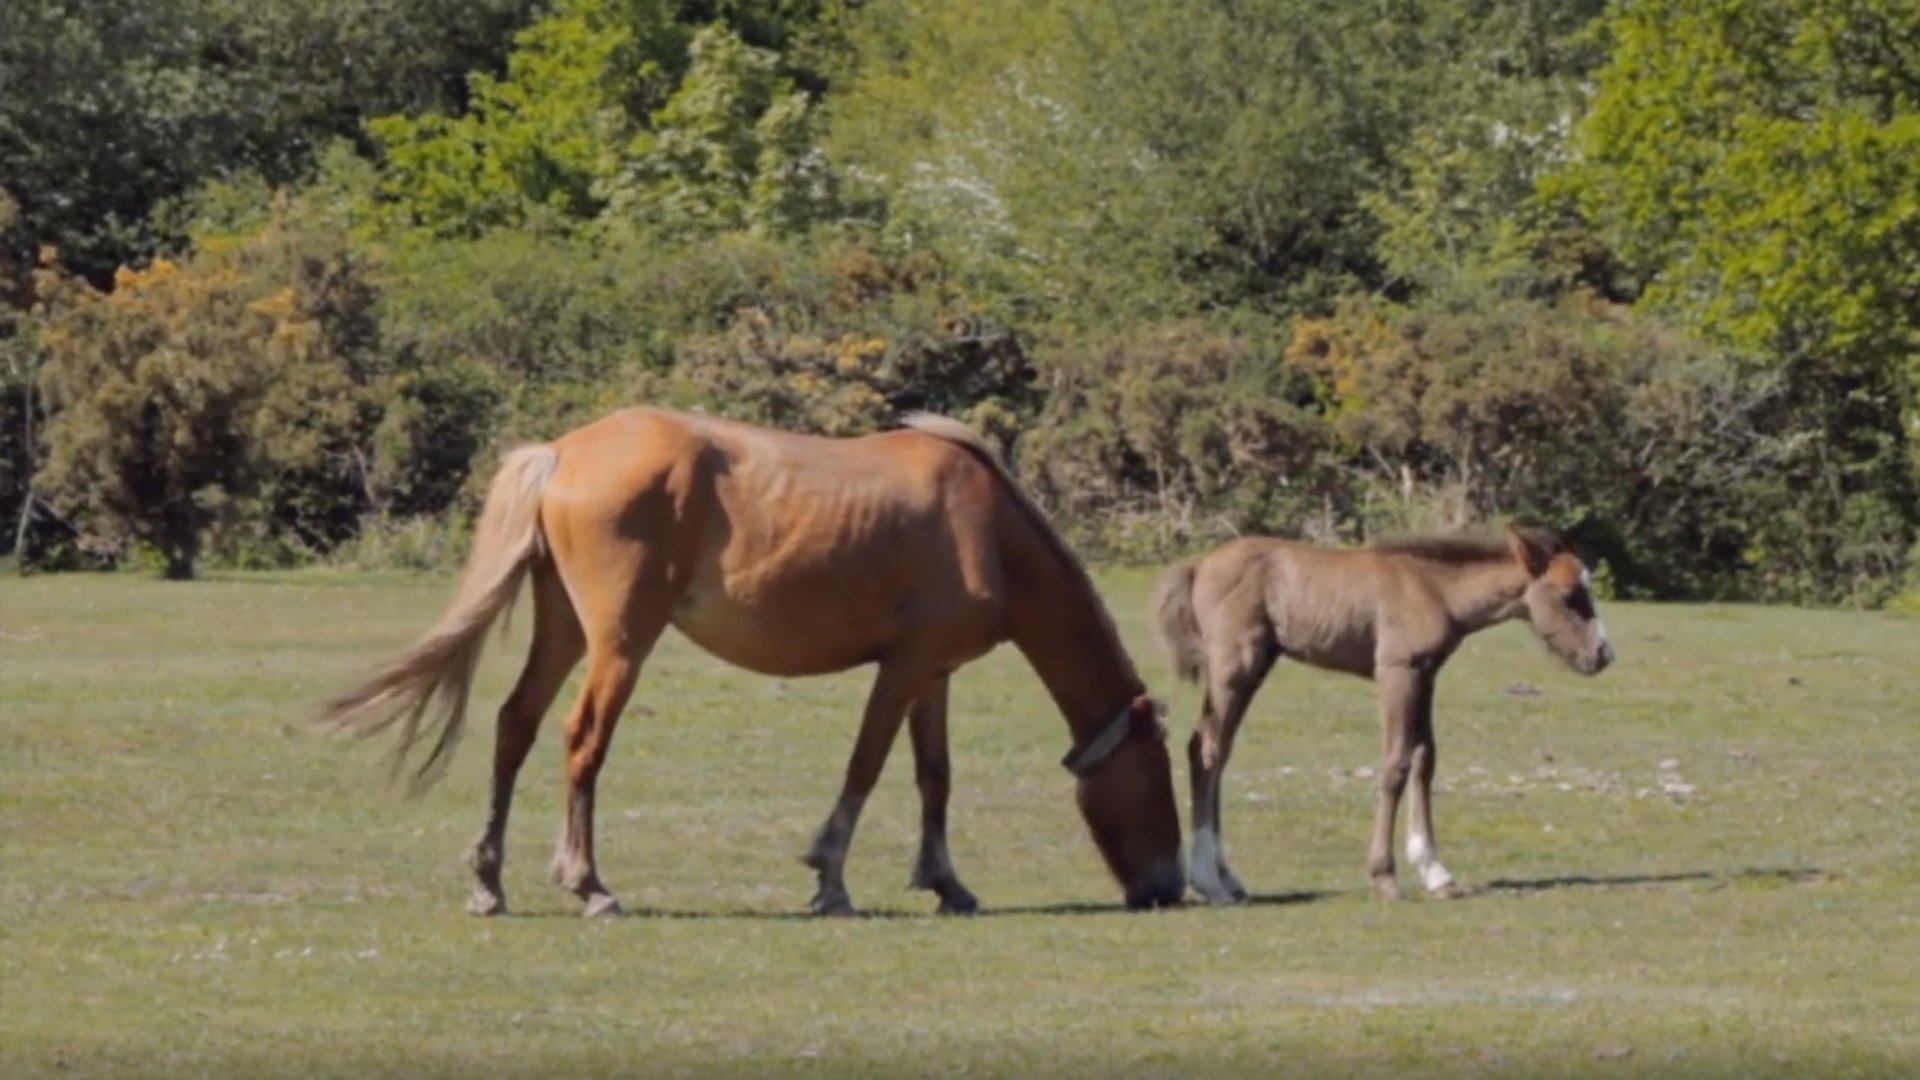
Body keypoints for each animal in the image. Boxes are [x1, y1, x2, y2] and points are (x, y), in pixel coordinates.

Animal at [322, 407, 1175, 910]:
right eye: (1161, 783)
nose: (1167, 889)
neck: (986, 528)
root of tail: (561, 453)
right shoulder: (902, 670)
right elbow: (865, 768)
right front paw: (830, 877)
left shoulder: (934, 673)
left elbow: (934, 777)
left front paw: (946, 882)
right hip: (620, 642)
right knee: (581, 741)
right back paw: (588, 883)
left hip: (563, 628)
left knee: (515, 726)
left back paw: (489, 880)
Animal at [1152, 522, 1620, 899]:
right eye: (1570, 595)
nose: (1602, 655)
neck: (1434, 590)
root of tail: (1199, 566)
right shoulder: (1396, 671)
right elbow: (1395, 763)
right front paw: (1385, 876)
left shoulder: (1425, 675)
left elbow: (1424, 759)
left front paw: (1436, 872)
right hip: (1234, 668)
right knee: (1207, 750)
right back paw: (1209, 882)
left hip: (1254, 668)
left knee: (1215, 752)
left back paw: (1228, 878)